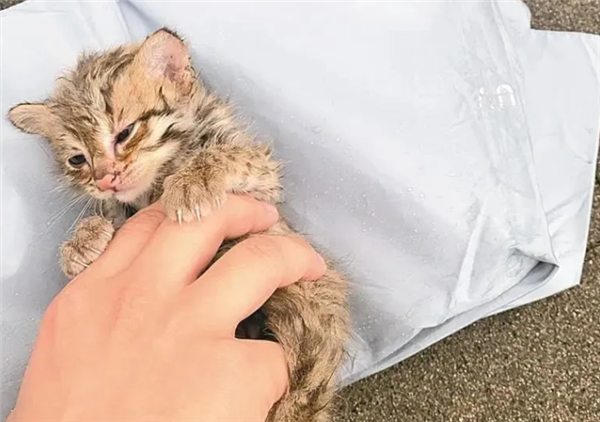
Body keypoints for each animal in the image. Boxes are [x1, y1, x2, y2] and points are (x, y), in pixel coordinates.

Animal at [7, 28, 350, 422]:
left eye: (125, 133)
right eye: (77, 160)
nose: (105, 180)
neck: (154, 183)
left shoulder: (264, 186)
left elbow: (233, 157)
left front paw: (195, 178)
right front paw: (84, 239)